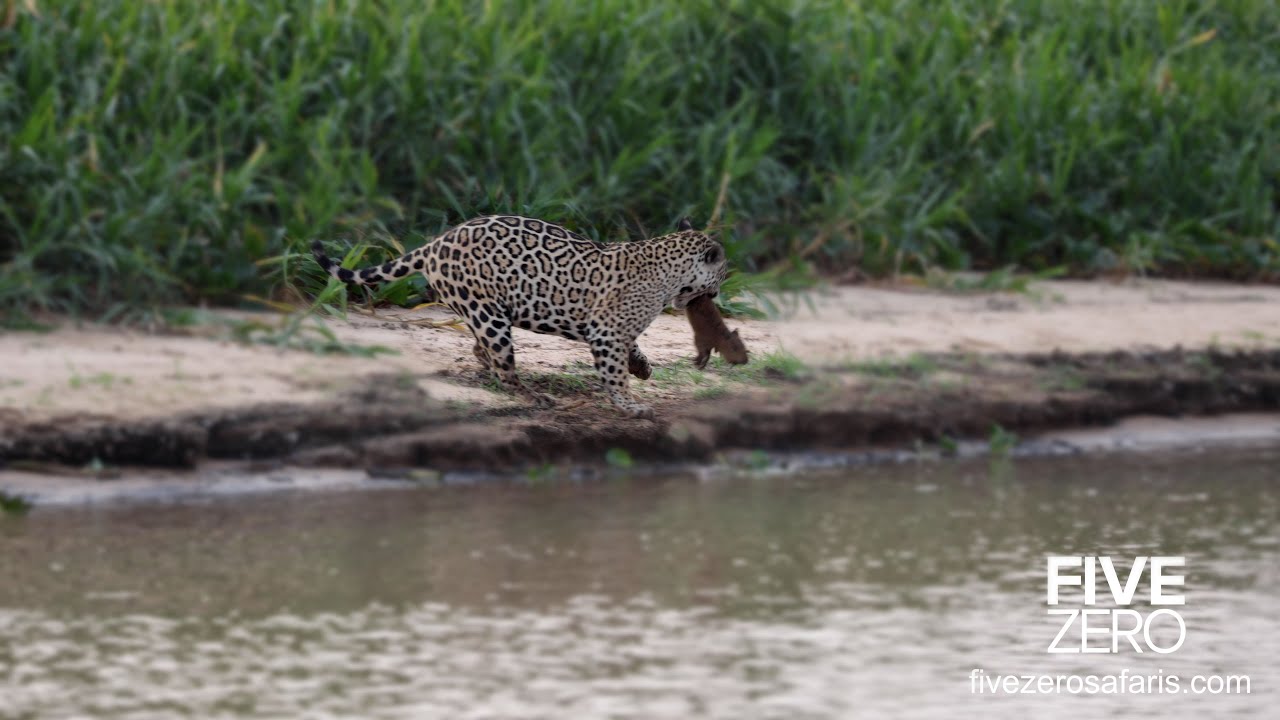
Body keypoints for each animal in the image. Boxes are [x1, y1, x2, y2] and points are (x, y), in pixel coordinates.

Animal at [312, 216, 728, 418]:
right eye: (724, 273)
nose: (719, 292)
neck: (670, 272)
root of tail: (433, 244)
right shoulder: (606, 332)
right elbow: (613, 373)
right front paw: (630, 404)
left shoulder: (613, 331)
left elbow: (633, 349)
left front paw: (642, 368)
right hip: (490, 317)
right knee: (504, 370)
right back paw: (538, 398)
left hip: (483, 310)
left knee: (482, 353)